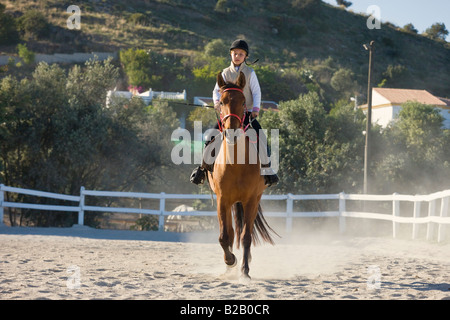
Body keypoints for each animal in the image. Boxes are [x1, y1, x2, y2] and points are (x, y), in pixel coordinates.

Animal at [207, 71, 278, 278]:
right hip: (230, 203)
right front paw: (230, 261)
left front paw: (244, 270)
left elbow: (246, 236)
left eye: (243, 101)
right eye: (222, 101)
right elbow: (224, 236)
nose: (231, 129)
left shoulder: (251, 200)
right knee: (230, 232)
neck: (236, 164)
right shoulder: (222, 200)